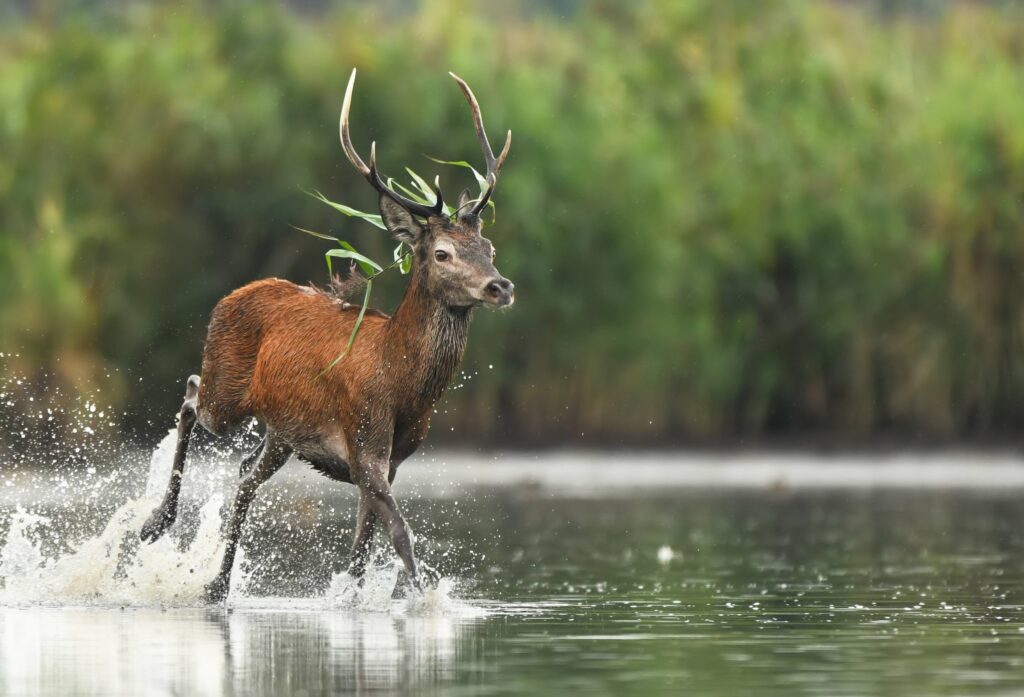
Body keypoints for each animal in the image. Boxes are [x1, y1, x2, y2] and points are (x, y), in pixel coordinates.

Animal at [139, 69, 514, 602]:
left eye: (489, 246)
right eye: (442, 252)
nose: (500, 286)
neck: (402, 384)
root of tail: (231, 295)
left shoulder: (391, 459)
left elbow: (362, 548)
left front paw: (361, 597)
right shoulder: (364, 442)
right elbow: (400, 533)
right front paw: (422, 600)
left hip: (281, 432)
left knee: (245, 475)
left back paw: (217, 584)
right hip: (226, 392)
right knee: (191, 396)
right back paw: (155, 524)